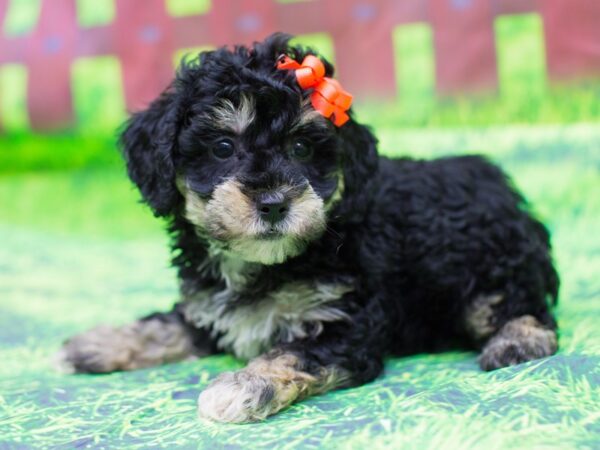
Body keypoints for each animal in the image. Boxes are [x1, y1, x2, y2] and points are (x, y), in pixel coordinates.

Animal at [56, 34, 556, 422]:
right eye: (222, 147)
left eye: (300, 148)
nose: (274, 203)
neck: (266, 264)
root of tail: (499, 183)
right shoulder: (207, 308)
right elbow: (168, 324)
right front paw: (95, 344)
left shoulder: (347, 323)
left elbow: (292, 353)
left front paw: (243, 385)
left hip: (494, 259)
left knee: (520, 304)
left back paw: (516, 340)